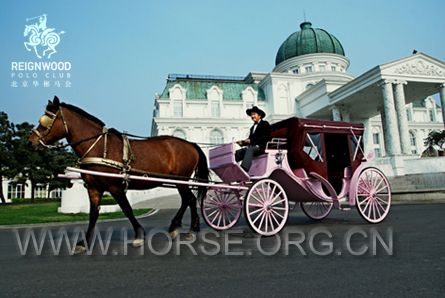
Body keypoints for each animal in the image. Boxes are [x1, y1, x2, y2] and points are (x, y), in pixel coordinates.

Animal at [28, 96, 209, 253]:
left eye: (46, 121)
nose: (31, 142)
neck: (100, 147)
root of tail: (191, 144)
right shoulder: (94, 188)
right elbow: (93, 215)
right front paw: (84, 243)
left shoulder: (115, 186)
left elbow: (127, 209)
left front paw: (139, 235)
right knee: (190, 200)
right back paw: (188, 228)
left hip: (180, 180)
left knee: (188, 199)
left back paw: (182, 227)